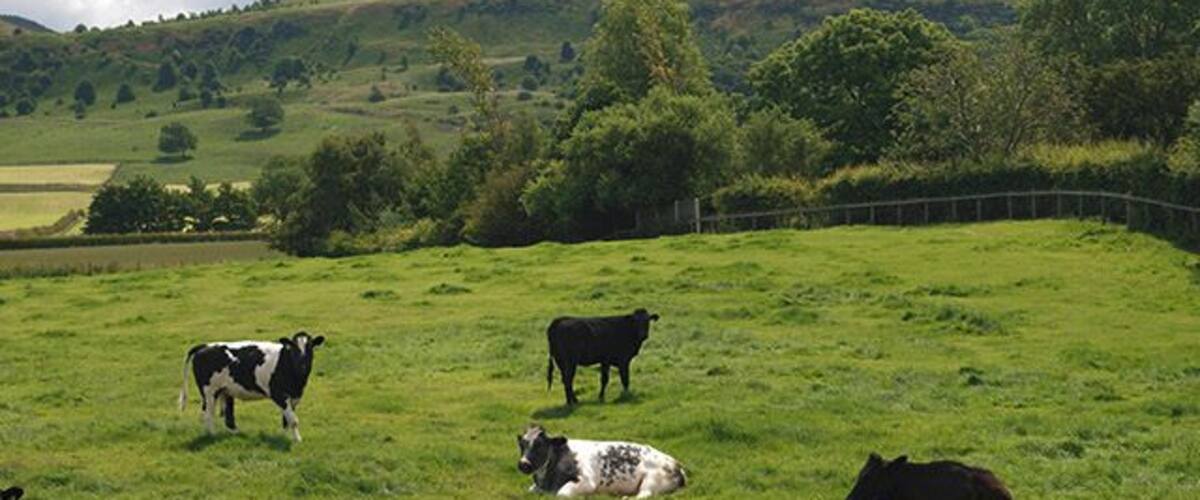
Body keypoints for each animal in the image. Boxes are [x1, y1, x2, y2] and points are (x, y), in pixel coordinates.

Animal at [179, 331, 326, 442]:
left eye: (310, 347)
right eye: (293, 348)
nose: (302, 364)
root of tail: (205, 346)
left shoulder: (294, 397)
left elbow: (286, 419)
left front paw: (284, 436)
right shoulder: (278, 394)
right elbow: (293, 420)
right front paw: (297, 440)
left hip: (225, 390)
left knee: (228, 417)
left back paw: (236, 434)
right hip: (209, 392)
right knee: (207, 413)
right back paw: (211, 435)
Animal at [516, 424, 686, 498]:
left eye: (539, 444)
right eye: (522, 444)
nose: (523, 464)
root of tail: (676, 464)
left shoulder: (587, 481)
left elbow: (562, 494)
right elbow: (530, 490)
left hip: (651, 480)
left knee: (644, 495)